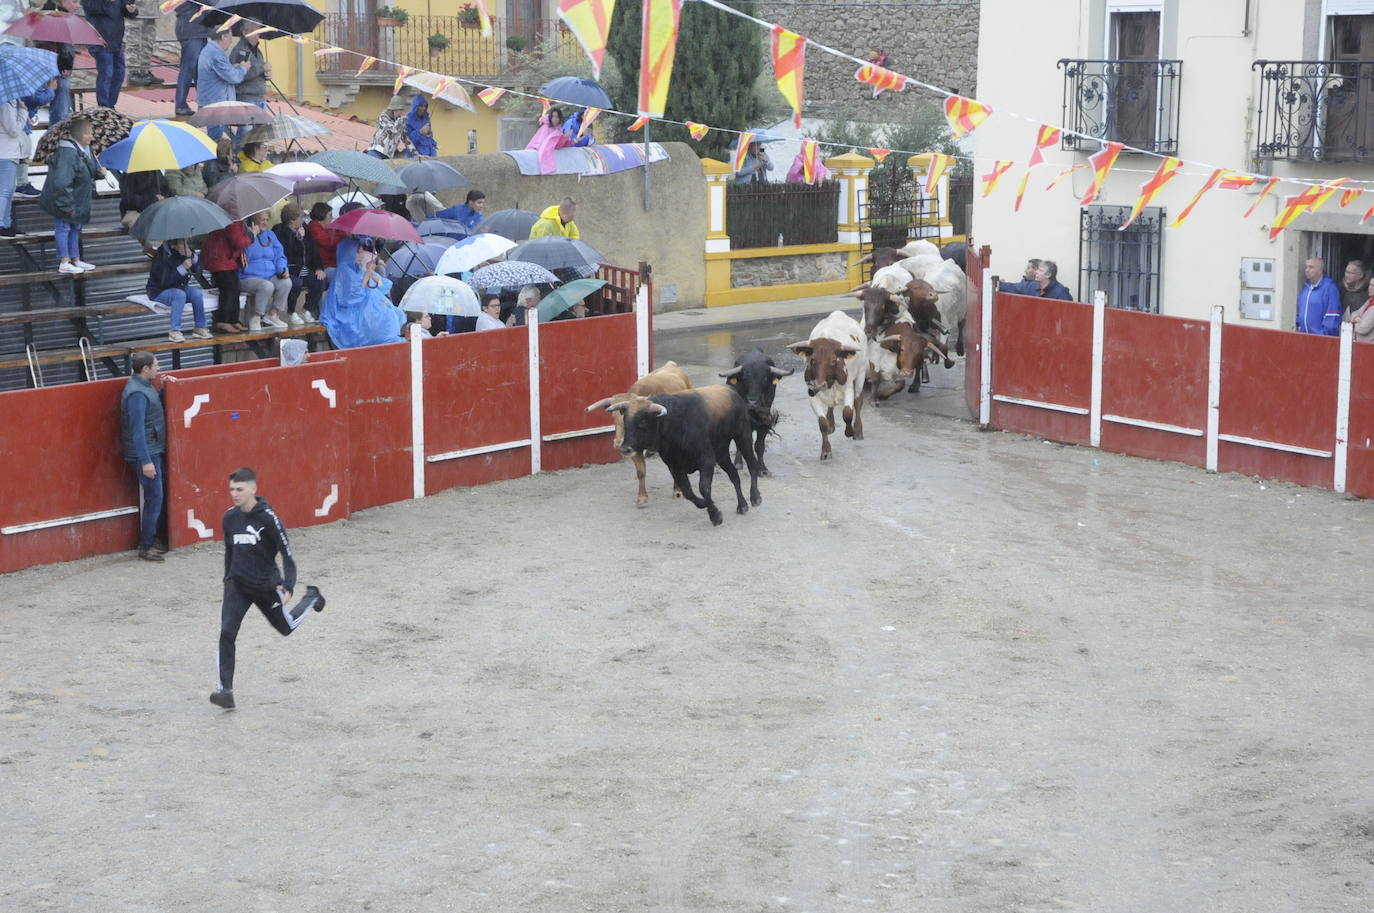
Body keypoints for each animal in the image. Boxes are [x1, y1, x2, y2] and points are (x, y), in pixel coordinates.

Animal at [714, 347, 791, 478]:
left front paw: (762, 469)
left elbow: (759, 446)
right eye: (745, 379)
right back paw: (738, 463)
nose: (752, 401)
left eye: (764, 379)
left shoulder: (765, 423)